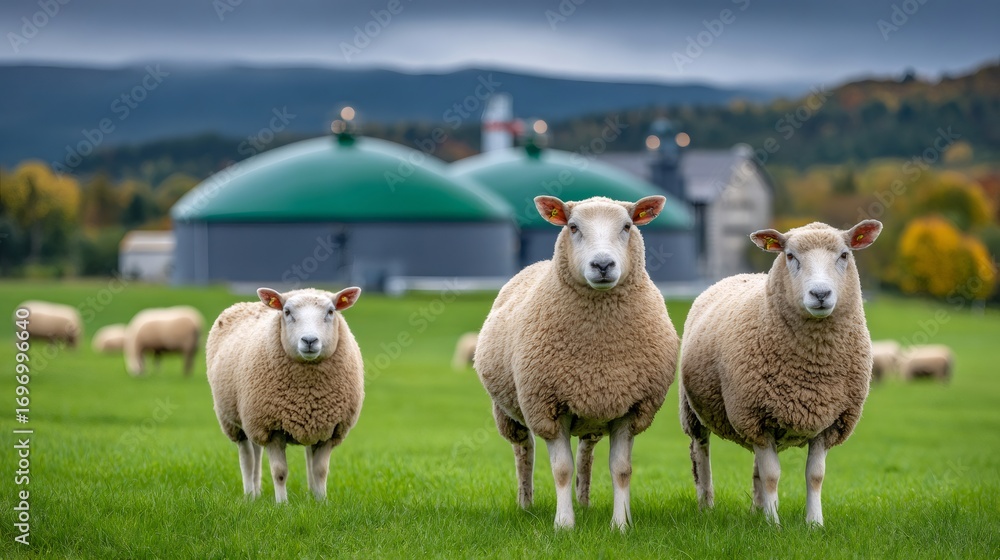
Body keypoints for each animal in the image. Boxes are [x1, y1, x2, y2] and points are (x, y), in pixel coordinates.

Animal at [206, 287, 364, 503]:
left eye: (331, 311)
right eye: (287, 312)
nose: (309, 340)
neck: (307, 393)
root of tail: (246, 304)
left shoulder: (330, 428)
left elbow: (320, 471)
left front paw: (321, 502)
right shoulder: (272, 427)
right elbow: (280, 471)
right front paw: (282, 504)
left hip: (259, 419)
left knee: (269, 453)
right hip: (236, 421)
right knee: (248, 458)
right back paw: (250, 495)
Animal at [474, 195, 679, 531]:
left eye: (627, 226)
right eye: (573, 227)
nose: (603, 265)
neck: (597, 349)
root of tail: (535, 265)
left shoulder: (631, 407)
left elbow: (621, 469)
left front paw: (620, 525)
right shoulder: (547, 407)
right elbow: (561, 470)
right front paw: (564, 524)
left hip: (592, 410)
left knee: (586, 452)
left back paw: (584, 503)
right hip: (510, 411)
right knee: (524, 452)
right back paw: (526, 504)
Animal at [679, 219, 882, 527]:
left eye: (844, 255)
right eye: (790, 256)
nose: (820, 294)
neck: (812, 368)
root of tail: (740, 275)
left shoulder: (829, 421)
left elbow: (814, 476)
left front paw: (814, 524)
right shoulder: (755, 417)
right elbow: (772, 476)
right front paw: (774, 525)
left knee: (755, 469)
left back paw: (756, 510)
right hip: (694, 411)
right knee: (701, 456)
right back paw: (707, 507)